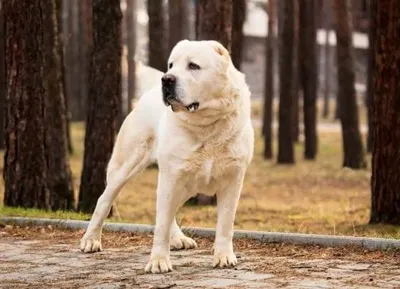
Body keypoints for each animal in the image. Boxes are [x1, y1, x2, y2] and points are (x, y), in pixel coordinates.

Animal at [79, 40, 255, 272]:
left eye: (193, 66)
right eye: (171, 65)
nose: (167, 79)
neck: (206, 125)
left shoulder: (232, 180)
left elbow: (225, 223)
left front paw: (224, 257)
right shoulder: (172, 176)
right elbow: (161, 224)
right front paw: (158, 261)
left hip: (185, 184)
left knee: (170, 210)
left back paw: (179, 239)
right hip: (127, 166)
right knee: (104, 200)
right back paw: (90, 240)